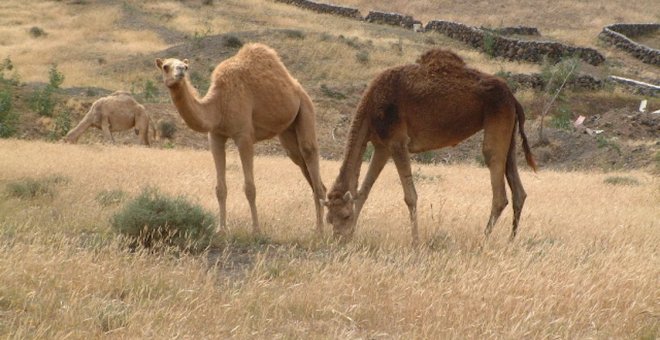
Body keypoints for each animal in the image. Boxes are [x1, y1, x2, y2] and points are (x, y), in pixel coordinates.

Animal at [157, 43, 328, 234]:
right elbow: (220, 189)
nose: (180, 71)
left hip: (306, 108)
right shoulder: (216, 136)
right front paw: (221, 230)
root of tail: (298, 88)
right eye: (166, 66)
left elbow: (250, 188)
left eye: (185, 67)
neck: (219, 104)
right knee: (306, 168)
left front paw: (256, 230)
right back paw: (320, 226)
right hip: (288, 132)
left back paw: (320, 231)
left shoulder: (244, 136)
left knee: (310, 154)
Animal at [324, 48, 536, 244]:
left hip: (497, 121)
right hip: (509, 132)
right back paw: (510, 241)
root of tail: (513, 98)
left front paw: (416, 242)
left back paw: (482, 241)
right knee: (518, 191)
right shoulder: (382, 147)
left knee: (498, 188)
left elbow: (410, 196)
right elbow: (364, 191)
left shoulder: (397, 141)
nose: (338, 240)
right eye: (329, 219)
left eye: (345, 215)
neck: (371, 107)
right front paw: (353, 235)